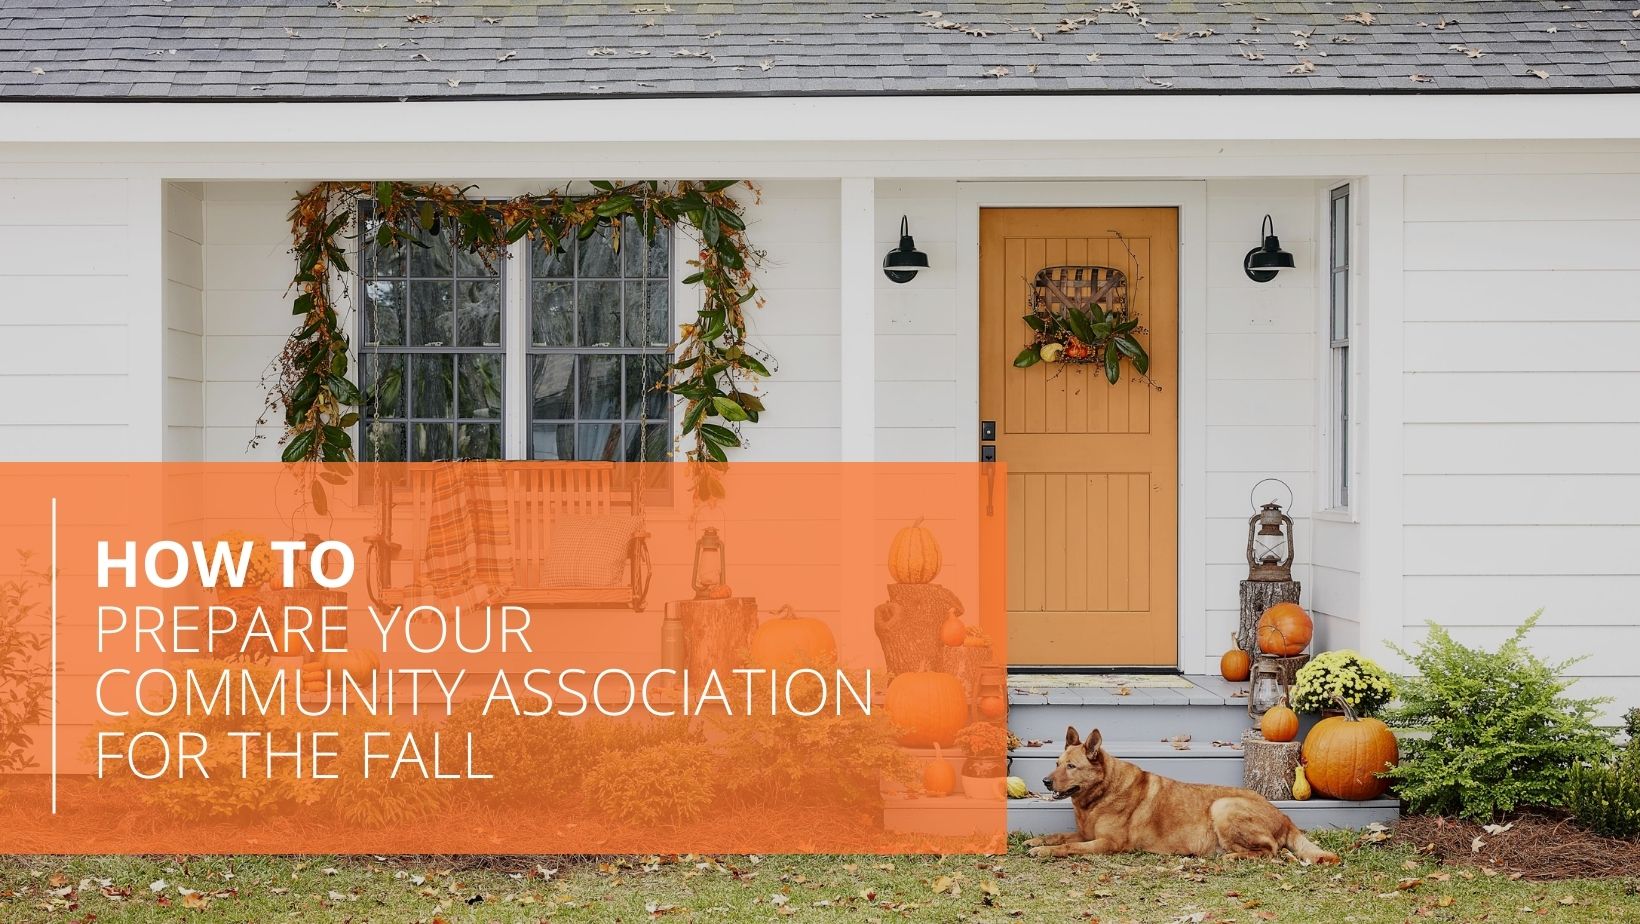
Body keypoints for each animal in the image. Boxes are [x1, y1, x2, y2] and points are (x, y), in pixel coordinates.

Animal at [1029, 731, 1338, 866]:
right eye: (1057, 763)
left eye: (1071, 766)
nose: (1045, 781)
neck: (1099, 795)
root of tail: (1284, 815)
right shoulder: (1086, 834)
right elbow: (1059, 836)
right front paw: (1038, 841)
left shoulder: (1107, 844)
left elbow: (1067, 846)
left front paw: (1044, 851)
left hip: (1223, 806)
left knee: (1271, 850)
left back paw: (1232, 856)